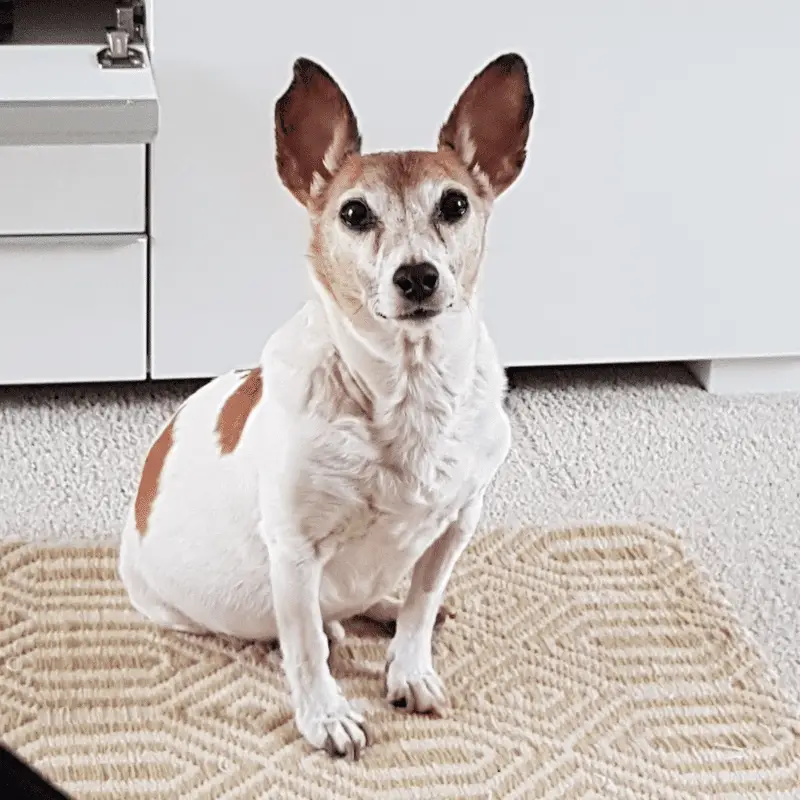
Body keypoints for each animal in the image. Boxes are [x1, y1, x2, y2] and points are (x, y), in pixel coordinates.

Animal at [117, 53, 532, 760]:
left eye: (454, 204)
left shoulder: (457, 522)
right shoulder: (295, 551)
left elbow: (423, 603)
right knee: (304, 627)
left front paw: (409, 666)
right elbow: (305, 646)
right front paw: (326, 717)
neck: (409, 390)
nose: (417, 276)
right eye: (355, 214)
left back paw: (383, 606)